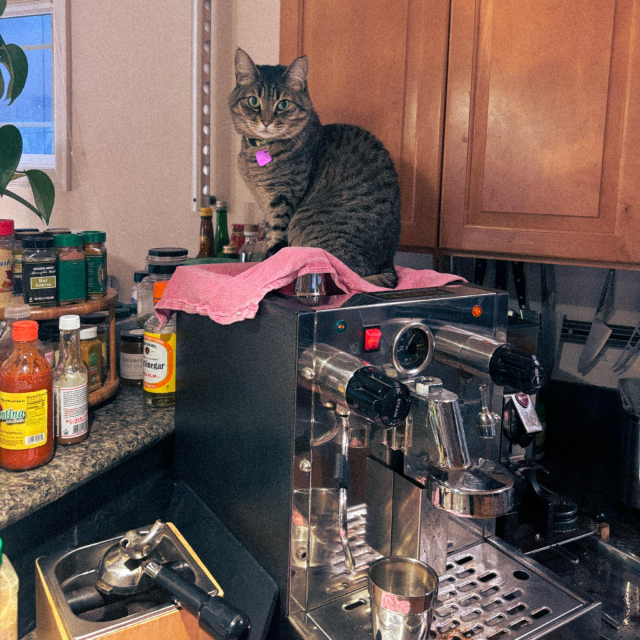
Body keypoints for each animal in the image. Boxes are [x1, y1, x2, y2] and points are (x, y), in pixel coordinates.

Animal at [229, 50, 400, 288]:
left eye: (283, 104)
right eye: (254, 101)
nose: (266, 121)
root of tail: (388, 263)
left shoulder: (282, 200)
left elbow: (276, 241)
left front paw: (267, 267)